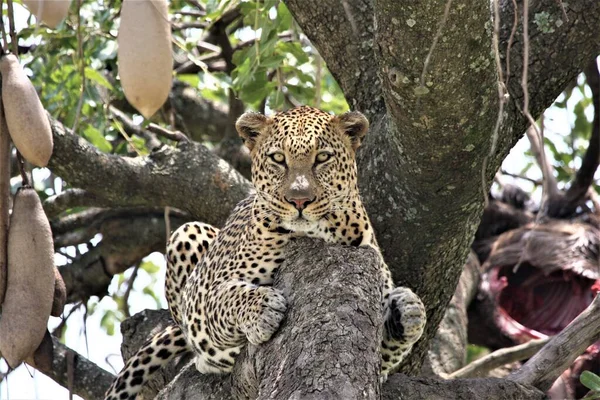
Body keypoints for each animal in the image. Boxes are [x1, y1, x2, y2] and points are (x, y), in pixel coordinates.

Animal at [106, 106, 426, 400]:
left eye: (322, 158)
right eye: (278, 159)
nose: (300, 200)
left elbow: (403, 329)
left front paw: (405, 314)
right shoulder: (201, 299)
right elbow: (228, 297)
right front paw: (263, 309)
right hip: (187, 234)